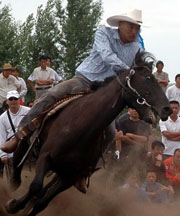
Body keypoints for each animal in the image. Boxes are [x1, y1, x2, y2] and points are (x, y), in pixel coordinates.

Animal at [5, 51, 172, 215]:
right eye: (147, 79)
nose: (167, 109)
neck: (82, 128)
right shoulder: (45, 156)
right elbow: (35, 187)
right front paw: (13, 205)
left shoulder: (70, 177)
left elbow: (41, 202)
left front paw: (21, 205)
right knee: (18, 163)